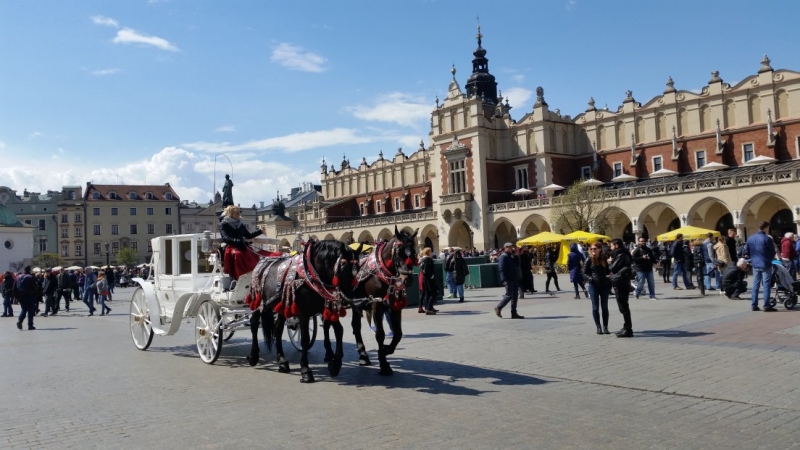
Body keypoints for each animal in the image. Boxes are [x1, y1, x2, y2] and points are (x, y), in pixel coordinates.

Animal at [245, 239, 360, 384]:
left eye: (359, 268)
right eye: (343, 266)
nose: (348, 298)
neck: (311, 273)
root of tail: (262, 261)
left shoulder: (325, 309)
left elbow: (339, 331)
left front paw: (335, 364)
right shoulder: (303, 313)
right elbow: (305, 338)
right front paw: (306, 371)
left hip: (281, 306)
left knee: (277, 330)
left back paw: (282, 362)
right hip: (258, 302)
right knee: (254, 324)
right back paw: (253, 356)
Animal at [322, 225, 418, 376]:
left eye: (413, 252)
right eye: (398, 252)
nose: (407, 279)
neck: (381, 273)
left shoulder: (395, 306)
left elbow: (398, 333)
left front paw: (387, 349)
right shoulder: (376, 306)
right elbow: (380, 334)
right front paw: (384, 364)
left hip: (356, 304)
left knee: (355, 326)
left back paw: (363, 356)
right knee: (326, 323)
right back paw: (328, 353)